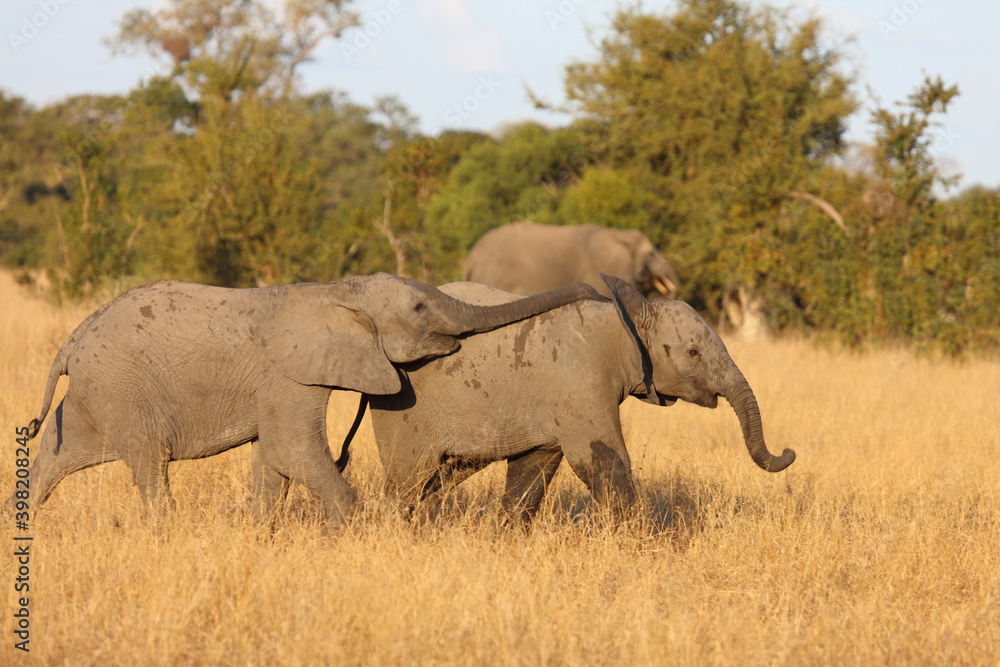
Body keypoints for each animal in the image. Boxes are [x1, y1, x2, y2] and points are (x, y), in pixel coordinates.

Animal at [12, 273, 602, 529]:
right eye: (418, 307)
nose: (600, 291)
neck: (339, 290)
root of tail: (74, 338)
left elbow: (273, 462)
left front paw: (260, 537)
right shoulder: (287, 377)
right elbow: (292, 450)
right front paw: (357, 534)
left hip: (97, 393)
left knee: (58, 454)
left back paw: (21, 525)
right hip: (124, 389)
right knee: (149, 461)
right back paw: (165, 533)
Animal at [364, 275, 795, 523]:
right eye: (693, 353)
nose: (789, 452)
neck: (620, 321)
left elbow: (533, 472)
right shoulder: (580, 384)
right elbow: (605, 464)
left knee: (436, 480)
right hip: (402, 406)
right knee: (407, 479)